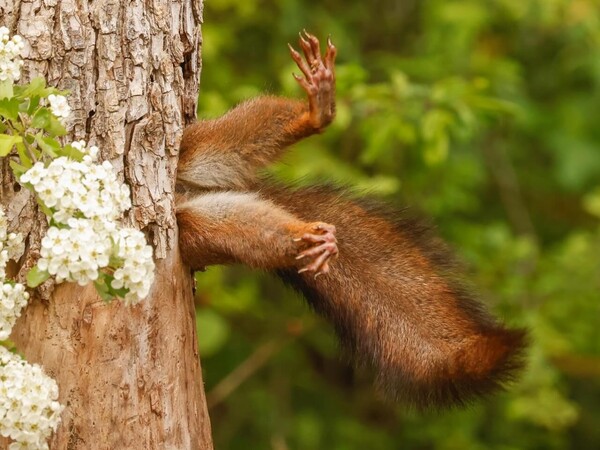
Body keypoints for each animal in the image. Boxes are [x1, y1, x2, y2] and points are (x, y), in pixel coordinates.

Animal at [175, 31, 524, 410]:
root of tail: (185, 193)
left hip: (192, 148)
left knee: (233, 138)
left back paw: (316, 113)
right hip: (195, 228)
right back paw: (307, 238)